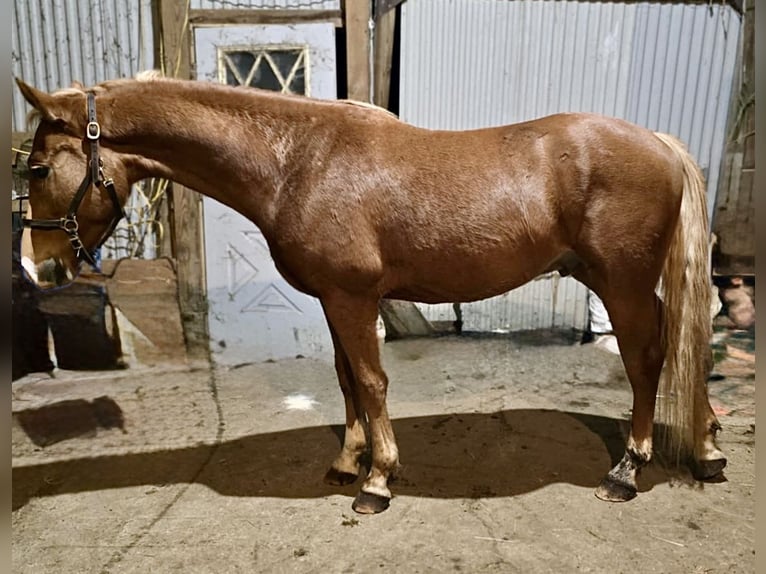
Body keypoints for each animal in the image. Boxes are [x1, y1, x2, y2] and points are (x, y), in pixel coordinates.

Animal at [15, 74, 728, 516]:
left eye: (40, 167)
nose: (37, 268)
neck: (297, 160)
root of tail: (658, 143)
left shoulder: (353, 297)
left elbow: (371, 380)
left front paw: (377, 481)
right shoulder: (333, 299)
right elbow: (345, 379)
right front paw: (347, 461)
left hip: (623, 282)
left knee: (647, 360)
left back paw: (628, 470)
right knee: (687, 344)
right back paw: (708, 448)